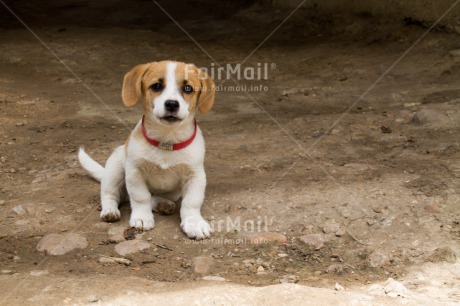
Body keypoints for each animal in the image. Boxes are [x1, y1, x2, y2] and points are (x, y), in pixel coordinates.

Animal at [78, 61, 216, 239]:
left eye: (188, 88)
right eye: (156, 86)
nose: (172, 104)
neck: (167, 140)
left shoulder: (195, 175)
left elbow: (191, 202)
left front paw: (194, 222)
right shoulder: (134, 172)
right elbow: (140, 197)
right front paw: (142, 218)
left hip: (173, 191)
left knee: (154, 197)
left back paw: (162, 204)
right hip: (114, 169)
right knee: (111, 194)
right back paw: (110, 211)